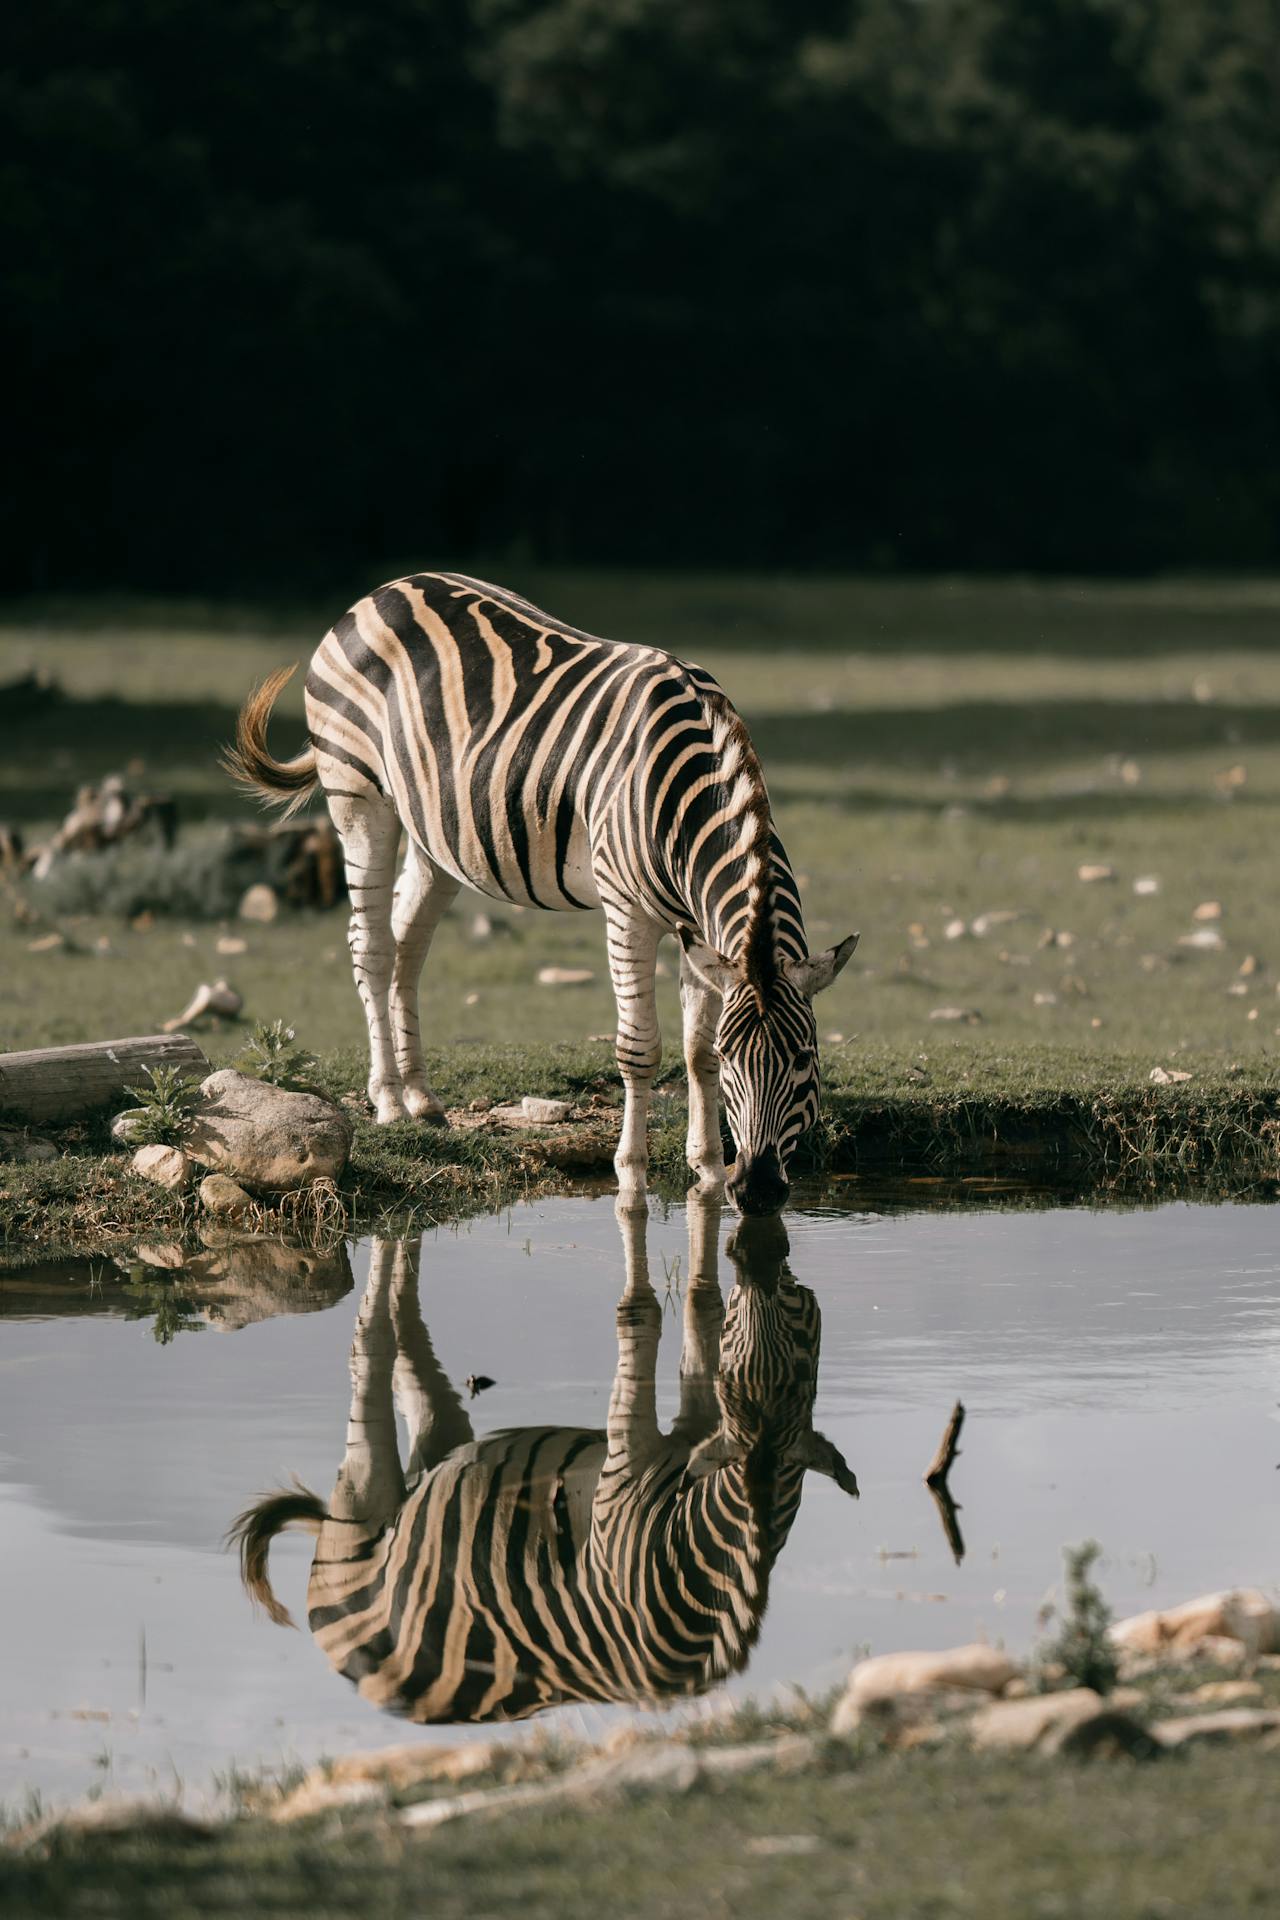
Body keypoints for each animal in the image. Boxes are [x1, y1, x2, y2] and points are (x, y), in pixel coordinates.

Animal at [224, 572, 856, 1214]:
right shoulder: (626, 909)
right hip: (358, 796)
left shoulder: (699, 929)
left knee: (408, 944)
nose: (756, 1191)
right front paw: (632, 1174)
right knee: (371, 946)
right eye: (736, 1061)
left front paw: (705, 1168)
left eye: (805, 1058)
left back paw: (420, 1098)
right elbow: (641, 1049)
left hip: (437, 836)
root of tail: (386, 589)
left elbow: (693, 1047)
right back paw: (388, 1101)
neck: (687, 794)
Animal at [230, 1199, 858, 1723]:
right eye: (799, 1329)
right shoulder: (625, 1475)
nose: (764, 1255)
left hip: (438, 1463)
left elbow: (699, 1318)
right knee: (370, 1349)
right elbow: (644, 1319)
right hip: (361, 1510)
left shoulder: (700, 1433)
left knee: (419, 1378)